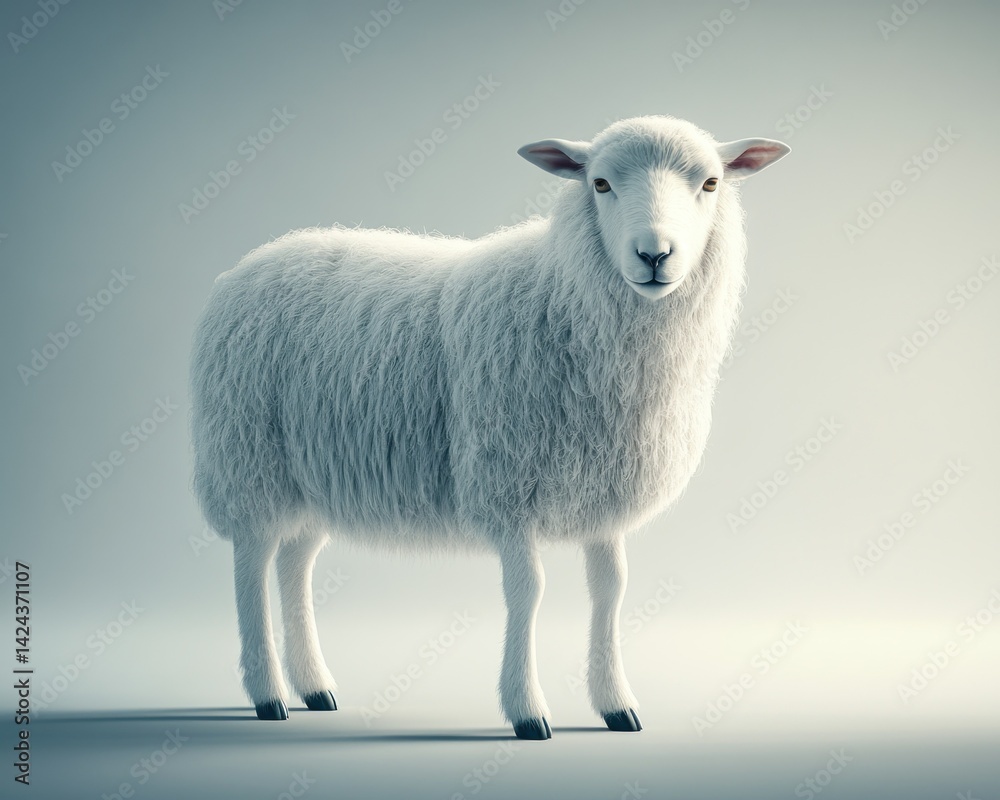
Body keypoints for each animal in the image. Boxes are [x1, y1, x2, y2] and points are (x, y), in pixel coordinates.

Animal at [190, 115, 789, 740]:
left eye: (711, 183)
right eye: (599, 183)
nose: (654, 254)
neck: (561, 299)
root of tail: (246, 266)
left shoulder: (602, 492)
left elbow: (611, 590)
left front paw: (616, 704)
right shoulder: (507, 486)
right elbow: (528, 592)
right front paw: (527, 710)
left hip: (312, 476)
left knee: (294, 564)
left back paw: (314, 687)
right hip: (248, 458)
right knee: (251, 566)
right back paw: (268, 694)